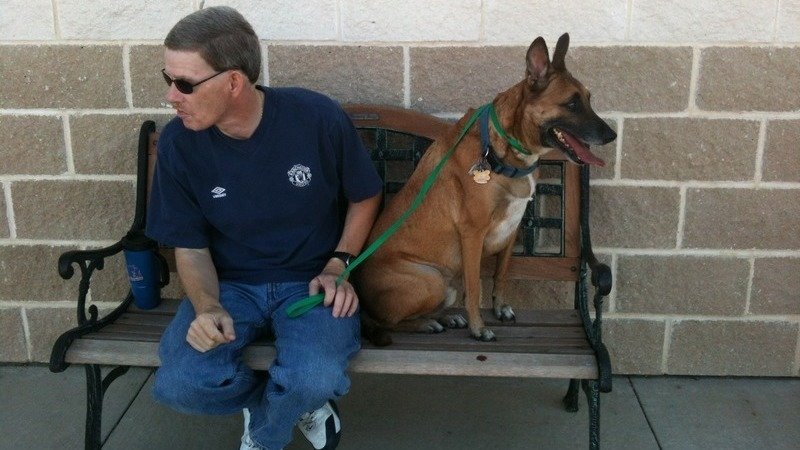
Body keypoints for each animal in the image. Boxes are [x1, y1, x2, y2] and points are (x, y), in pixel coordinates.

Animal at [353, 33, 616, 345]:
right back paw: (426, 324)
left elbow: (500, 274)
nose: (612, 135)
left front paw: (499, 307)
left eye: (589, 99)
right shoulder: (473, 233)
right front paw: (478, 328)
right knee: (389, 321)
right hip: (431, 280)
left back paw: (445, 317)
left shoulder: (513, 228)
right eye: (572, 104)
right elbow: (474, 287)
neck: (508, 152)